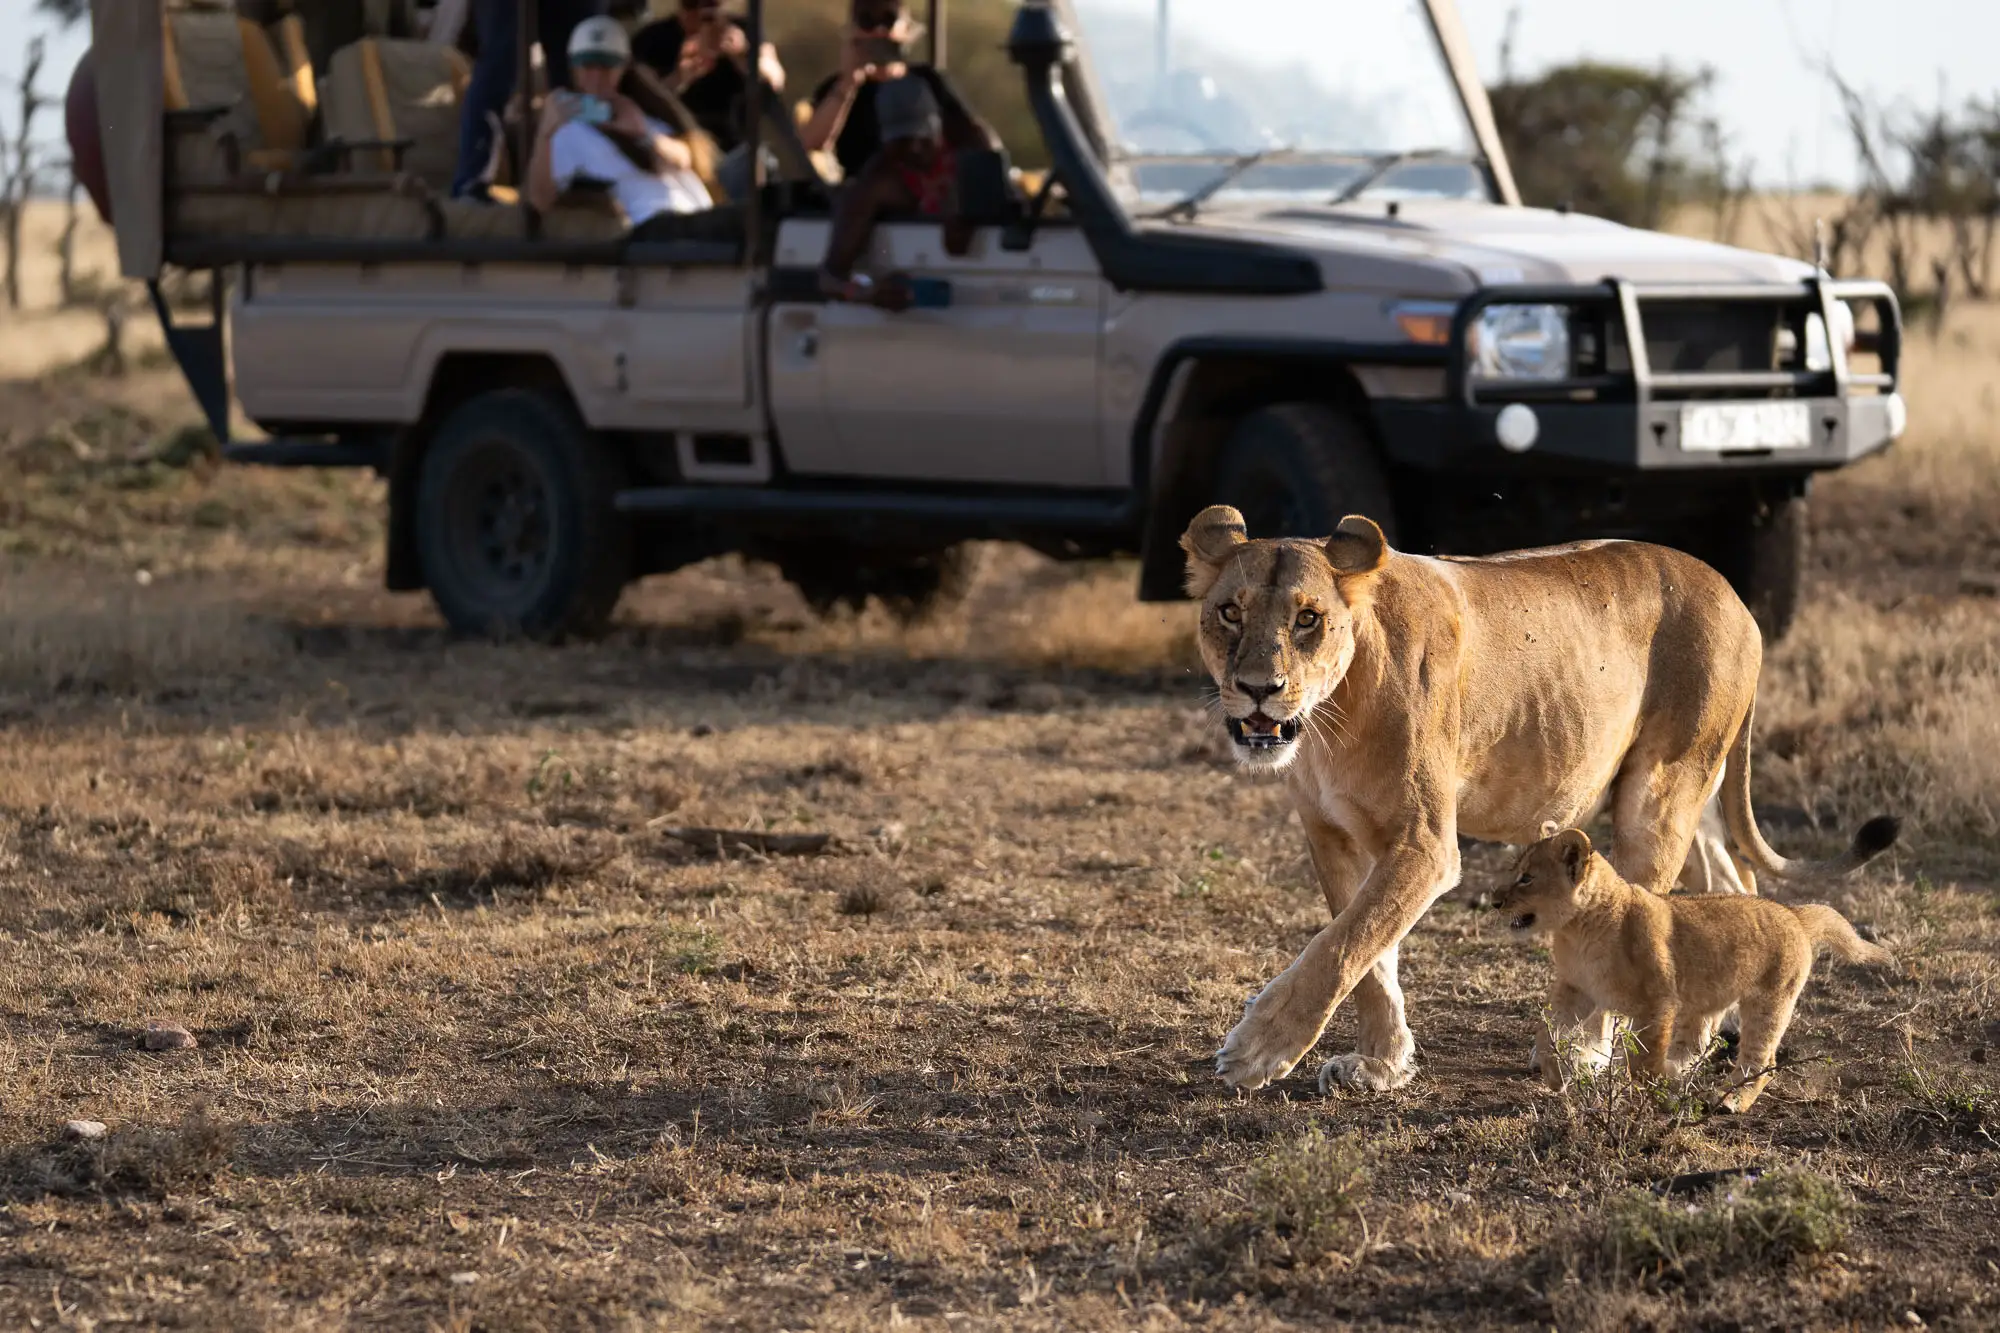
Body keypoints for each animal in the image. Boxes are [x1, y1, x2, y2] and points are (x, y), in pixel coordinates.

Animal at [1492, 824, 1894, 1112]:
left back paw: (1731, 1101)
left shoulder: (1657, 1001)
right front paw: (1556, 1075)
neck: (1578, 930)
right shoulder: (1576, 988)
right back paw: (1681, 1072)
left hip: (1769, 999)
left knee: (1761, 1057)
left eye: (1527, 878)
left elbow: (1644, 1059)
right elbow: (1547, 1031)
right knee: (1701, 1042)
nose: (1495, 901)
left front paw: (1649, 1094)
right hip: (1707, 998)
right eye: (1514, 872)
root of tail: (1794, 914)